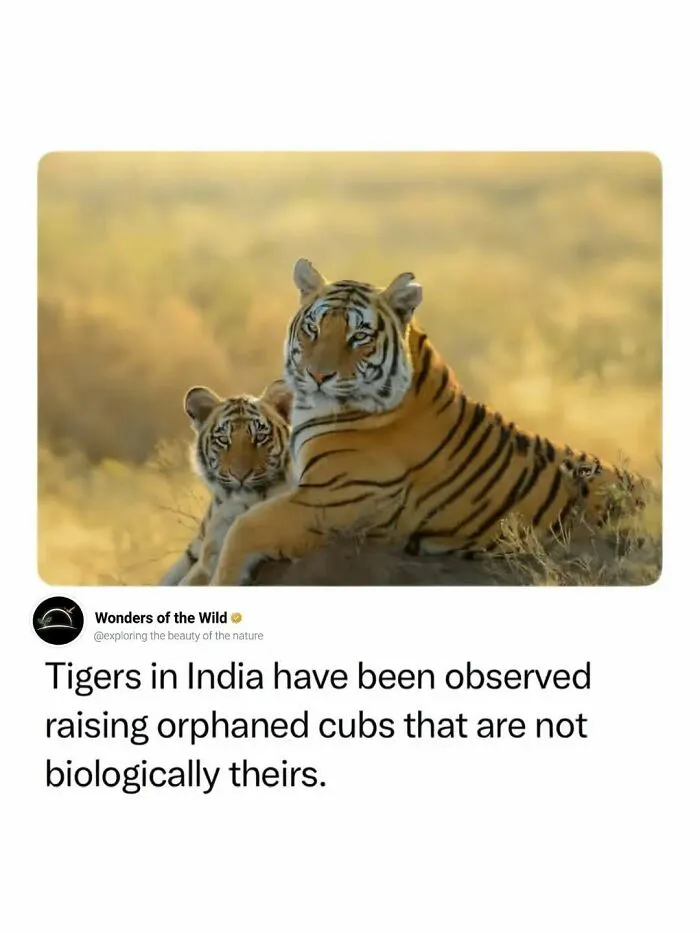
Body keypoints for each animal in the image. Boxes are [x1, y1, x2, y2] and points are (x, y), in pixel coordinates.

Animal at [209, 259, 647, 585]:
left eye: (358, 337)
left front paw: (221, 581)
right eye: (313, 328)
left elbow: (244, 528)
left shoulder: (333, 501)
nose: (318, 375)